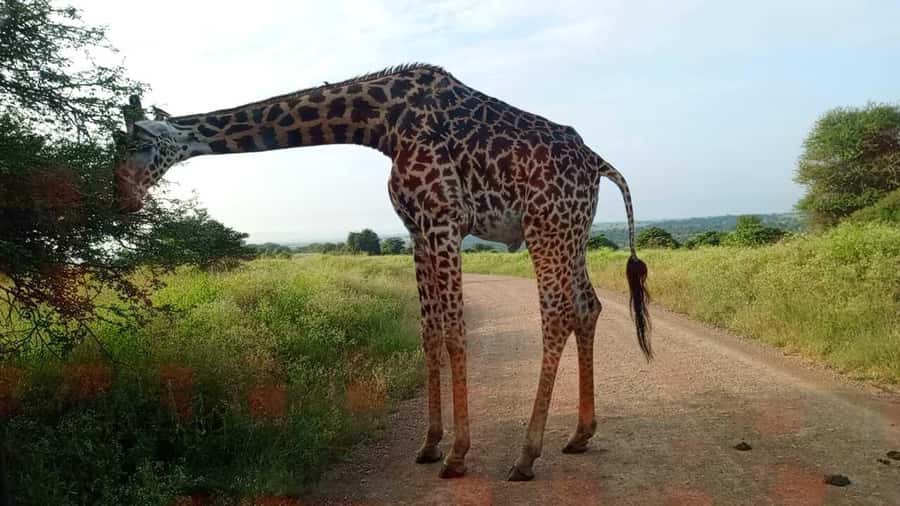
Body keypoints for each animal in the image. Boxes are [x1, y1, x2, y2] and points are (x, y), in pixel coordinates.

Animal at [114, 63, 652, 481]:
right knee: (588, 306)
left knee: (557, 315)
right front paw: (430, 445)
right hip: (573, 230)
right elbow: (429, 332)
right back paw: (579, 435)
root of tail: (599, 163)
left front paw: (457, 456)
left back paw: (525, 456)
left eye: (136, 145)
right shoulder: (416, 228)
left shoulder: (444, 219)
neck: (381, 124)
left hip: (547, 226)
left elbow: (454, 333)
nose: (123, 200)